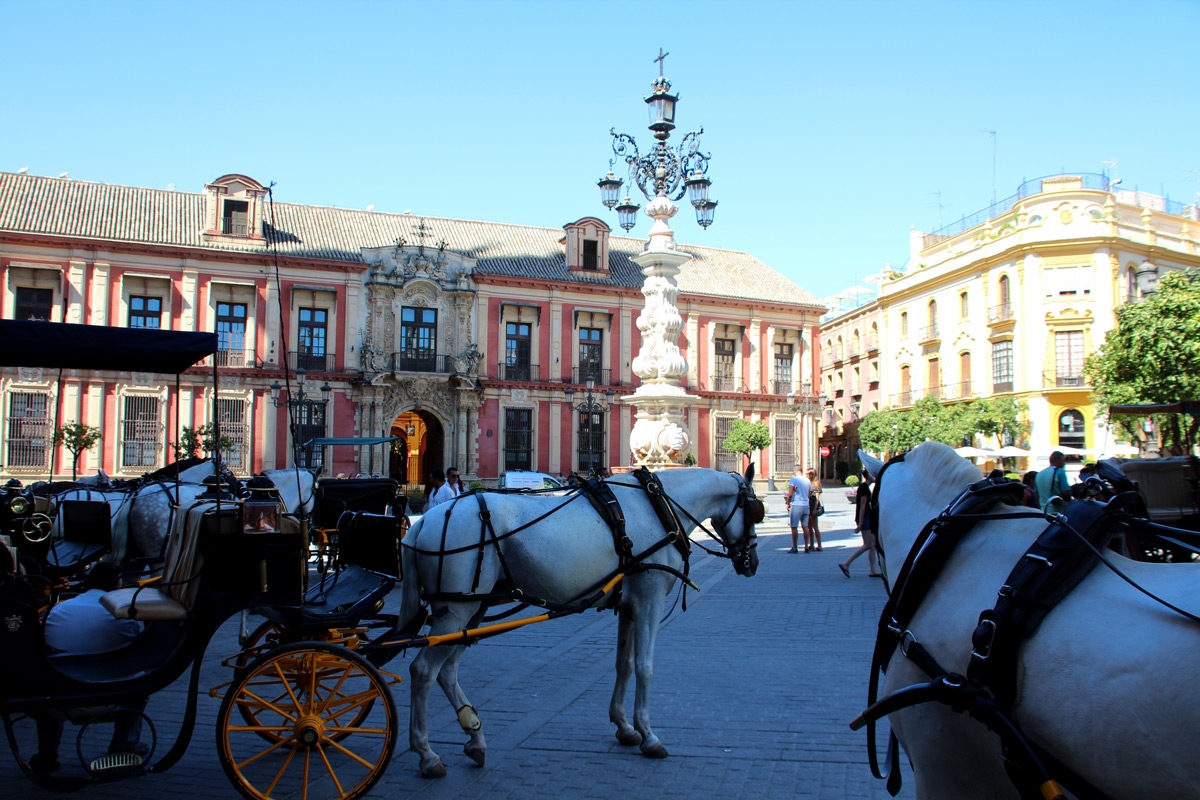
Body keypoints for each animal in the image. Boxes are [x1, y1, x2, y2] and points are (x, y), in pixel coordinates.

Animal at [398, 465, 763, 777]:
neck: (659, 506)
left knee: (447, 671)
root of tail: (421, 523)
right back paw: (427, 754)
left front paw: (624, 727)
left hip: (473, 608)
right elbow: (644, 666)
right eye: (755, 512)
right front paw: (648, 735)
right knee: (423, 670)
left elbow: (623, 664)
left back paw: (475, 739)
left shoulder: (628, 604)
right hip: (455, 609)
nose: (752, 563)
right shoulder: (650, 598)